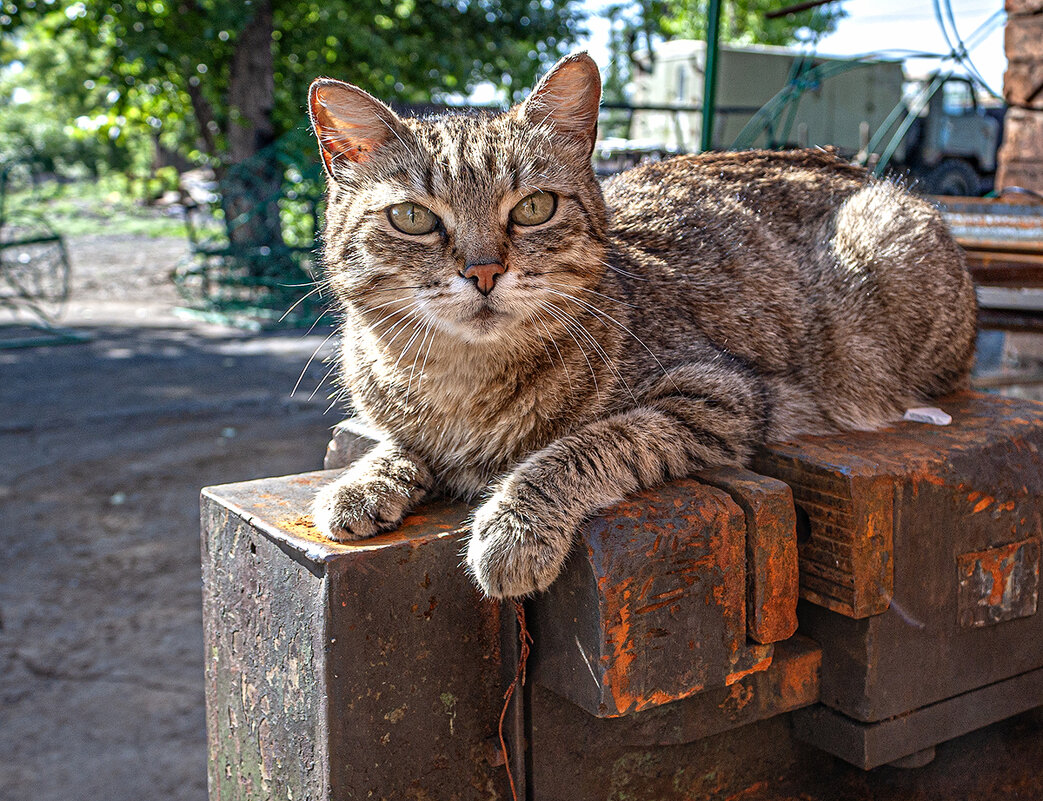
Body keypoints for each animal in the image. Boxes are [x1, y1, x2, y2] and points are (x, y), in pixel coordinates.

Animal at [304, 53, 972, 596]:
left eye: (535, 208)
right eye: (413, 218)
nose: (484, 271)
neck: (463, 383)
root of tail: (859, 169)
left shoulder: (719, 394)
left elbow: (585, 447)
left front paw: (514, 528)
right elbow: (398, 442)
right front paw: (363, 482)